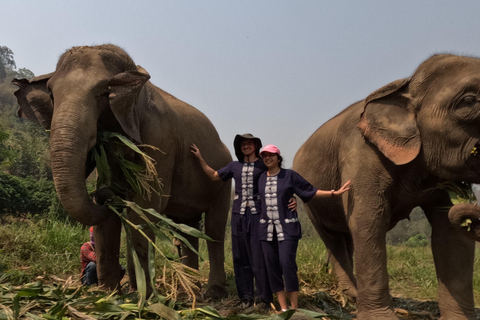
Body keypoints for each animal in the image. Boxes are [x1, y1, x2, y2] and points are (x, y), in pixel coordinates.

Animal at [12, 43, 233, 298]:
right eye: (51, 94)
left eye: (103, 93)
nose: (102, 194)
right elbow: (109, 221)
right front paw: (108, 294)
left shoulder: (161, 140)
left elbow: (146, 207)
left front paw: (145, 296)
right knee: (187, 229)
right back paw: (190, 291)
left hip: (223, 181)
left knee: (214, 229)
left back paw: (213, 292)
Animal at [292, 53, 480, 318]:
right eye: (469, 101)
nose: (469, 195)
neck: (406, 85)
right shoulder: (361, 152)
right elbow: (368, 219)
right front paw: (380, 316)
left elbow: (449, 230)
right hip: (309, 203)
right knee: (333, 237)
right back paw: (351, 295)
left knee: (347, 238)